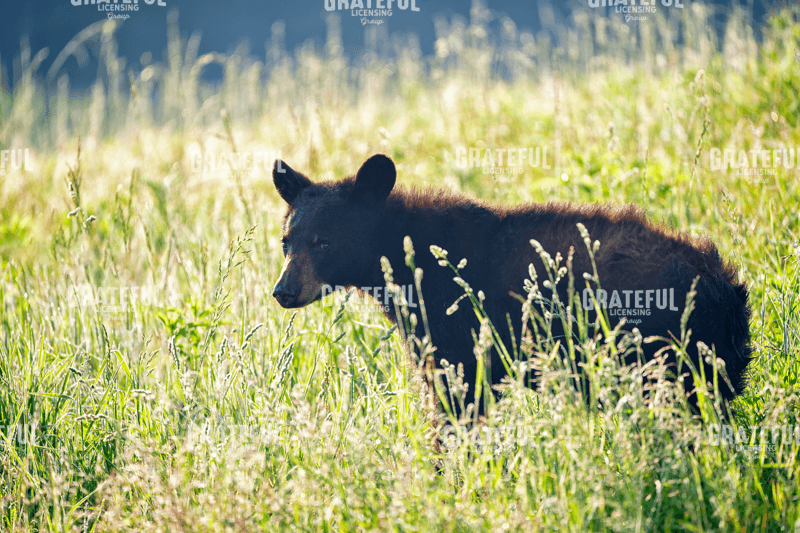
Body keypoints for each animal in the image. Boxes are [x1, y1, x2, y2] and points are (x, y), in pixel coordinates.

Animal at [271, 153, 752, 416]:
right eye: (286, 241)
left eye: (324, 241)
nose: (283, 292)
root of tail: (724, 286)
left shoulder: (459, 335)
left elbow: (457, 405)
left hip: (663, 353)